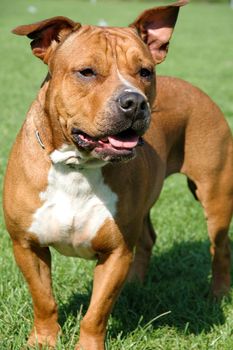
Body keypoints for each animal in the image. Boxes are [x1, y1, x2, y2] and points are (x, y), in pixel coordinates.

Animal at [2, 0, 232, 350]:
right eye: (86, 72)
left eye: (145, 72)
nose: (134, 101)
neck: (78, 167)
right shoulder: (27, 244)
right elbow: (44, 300)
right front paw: (43, 341)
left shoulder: (116, 254)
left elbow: (96, 313)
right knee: (148, 238)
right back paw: (136, 284)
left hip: (215, 195)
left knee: (219, 248)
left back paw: (216, 295)